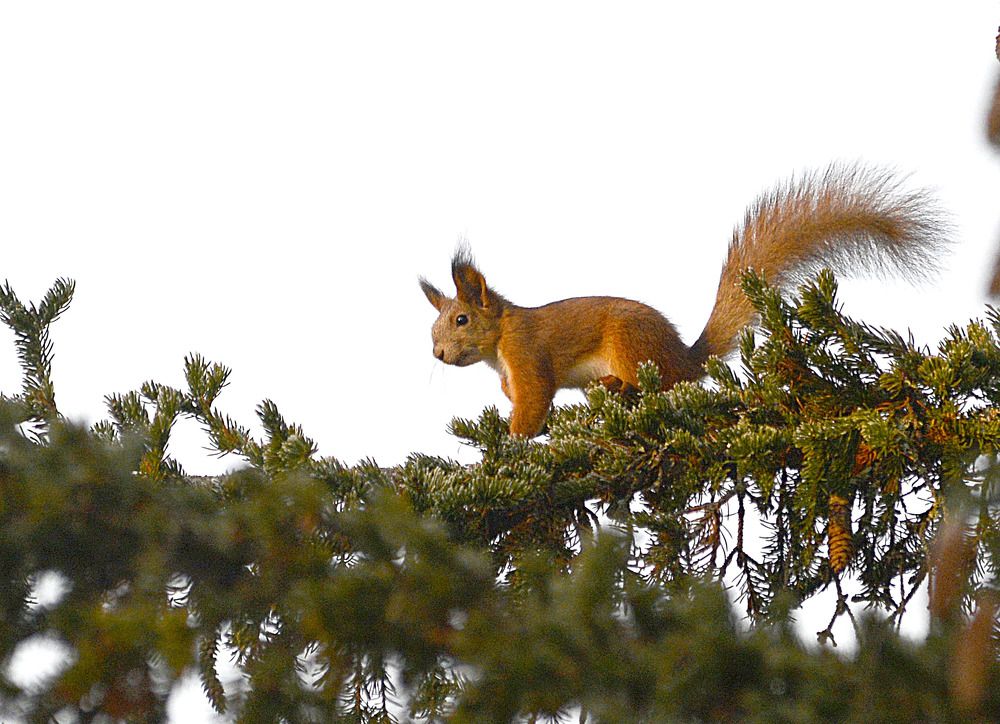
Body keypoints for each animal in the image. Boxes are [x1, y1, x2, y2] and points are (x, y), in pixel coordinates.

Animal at [420, 165, 945, 437]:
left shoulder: (528, 355)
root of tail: (685, 358)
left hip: (630, 345)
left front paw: (514, 443)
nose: (438, 354)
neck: (500, 340)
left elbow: (532, 400)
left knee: (658, 387)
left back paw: (618, 386)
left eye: (461, 319)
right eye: (433, 329)